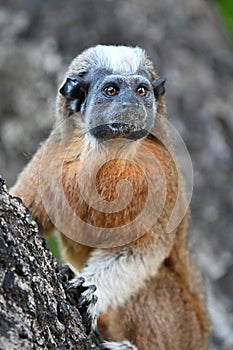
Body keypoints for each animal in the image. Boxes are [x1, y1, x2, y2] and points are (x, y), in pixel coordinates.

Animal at [10, 45, 208, 348]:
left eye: (141, 91)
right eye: (112, 90)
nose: (132, 106)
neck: (106, 151)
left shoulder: (160, 173)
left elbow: (141, 253)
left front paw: (91, 293)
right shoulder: (51, 156)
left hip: (185, 329)